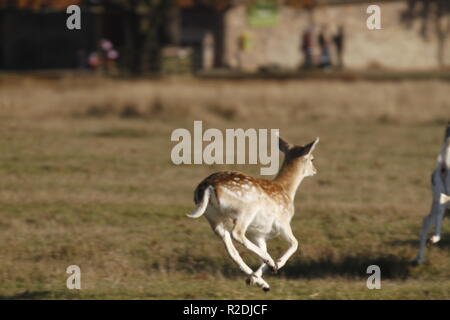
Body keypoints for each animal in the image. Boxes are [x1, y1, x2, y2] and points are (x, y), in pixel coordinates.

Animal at [186, 136, 320, 292]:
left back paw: (264, 282)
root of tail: (208, 187)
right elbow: (295, 243)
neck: (286, 191)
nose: (315, 170)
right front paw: (277, 264)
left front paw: (255, 279)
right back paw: (270, 262)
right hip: (246, 209)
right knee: (237, 234)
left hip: (214, 219)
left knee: (232, 252)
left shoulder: (258, 234)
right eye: (312, 159)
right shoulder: (283, 222)